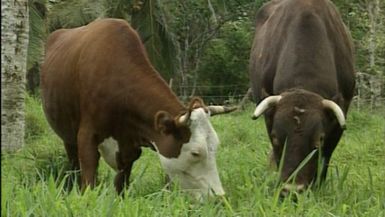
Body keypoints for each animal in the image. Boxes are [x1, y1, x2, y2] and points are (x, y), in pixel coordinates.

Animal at [40, 17, 236, 199]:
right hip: (68, 137)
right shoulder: (87, 137)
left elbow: (121, 186)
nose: (219, 197)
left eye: (215, 146)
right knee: (73, 168)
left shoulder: (130, 148)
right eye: (195, 153)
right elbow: (88, 182)